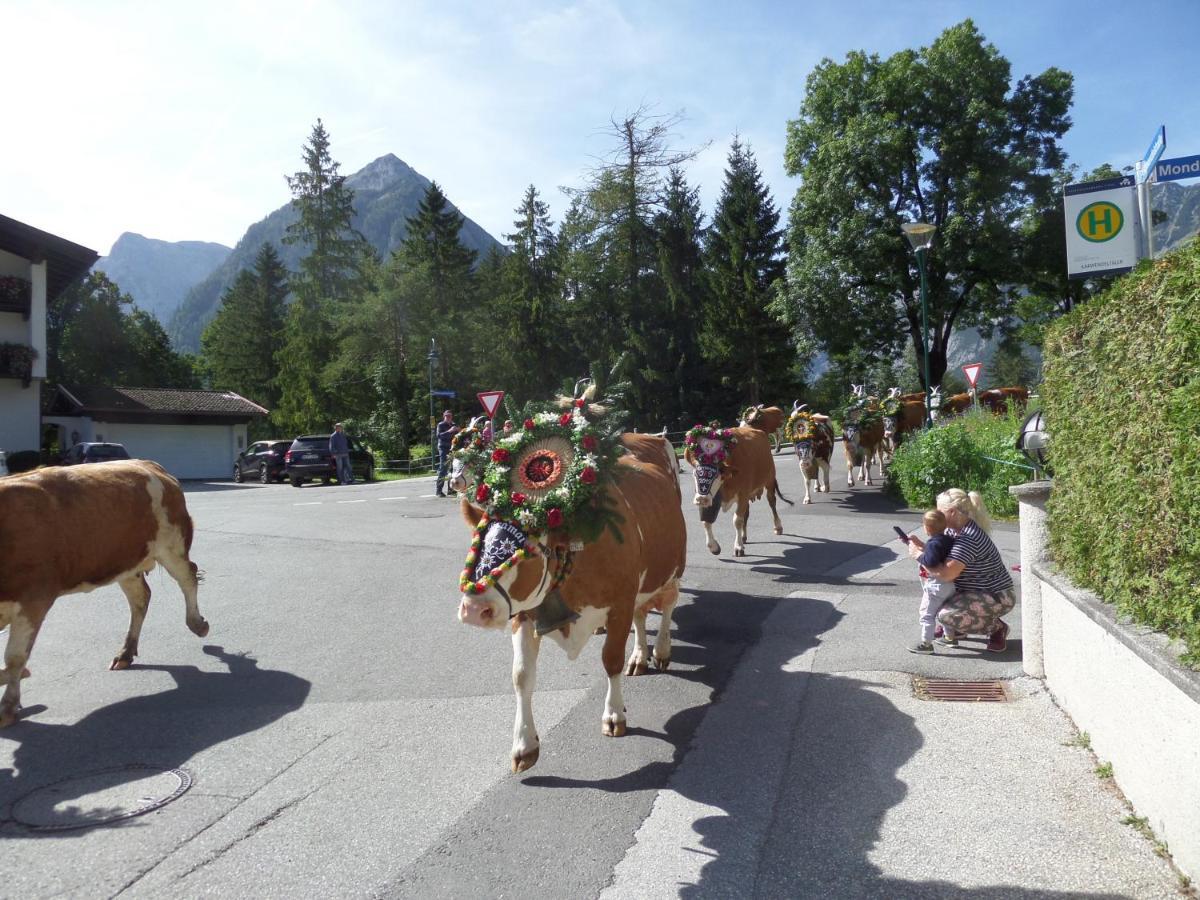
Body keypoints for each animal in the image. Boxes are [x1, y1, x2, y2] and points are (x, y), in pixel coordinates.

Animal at [0, 460, 208, 729]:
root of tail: (148, 464)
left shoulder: (34, 597)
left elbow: (15, 657)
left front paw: (8, 707)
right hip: (126, 561)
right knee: (140, 598)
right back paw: (126, 653)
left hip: (172, 543)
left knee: (188, 577)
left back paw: (198, 624)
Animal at [451, 391, 686, 772]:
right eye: (477, 542)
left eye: (529, 551)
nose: (474, 610)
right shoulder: (525, 612)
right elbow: (521, 676)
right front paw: (523, 745)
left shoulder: (619, 603)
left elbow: (611, 659)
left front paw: (614, 715)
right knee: (642, 616)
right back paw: (640, 657)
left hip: (673, 568)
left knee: (666, 606)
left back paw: (661, 650)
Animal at [681, 422, 792, 556]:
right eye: (695, 474)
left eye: (717, 475)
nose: (701, 499)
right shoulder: (713, 497)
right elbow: (706, 522)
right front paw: (713, 547)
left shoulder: (743, 493)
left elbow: (737, 520)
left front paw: (738, 547)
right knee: (747, 513)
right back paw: (744, 537)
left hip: (769, 480)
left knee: (772, 502)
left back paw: (778, 527)